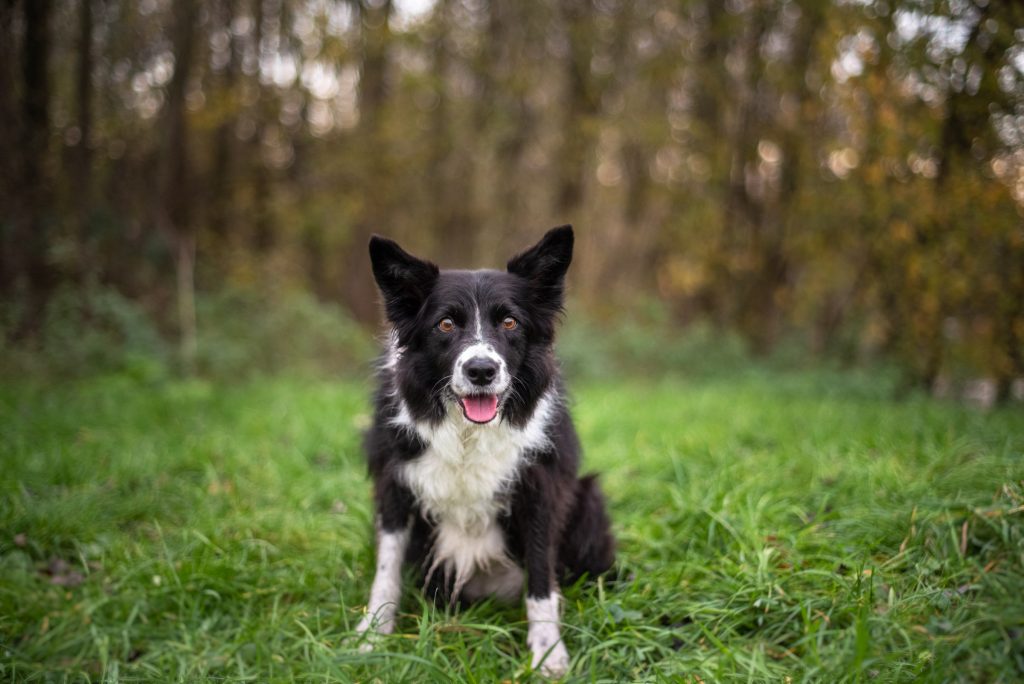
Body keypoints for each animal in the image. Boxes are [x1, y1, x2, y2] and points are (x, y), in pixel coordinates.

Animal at [356, 227, 610, 675]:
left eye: (509, 321)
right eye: (445, 324)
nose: (481, 371)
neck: (468, 433)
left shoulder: (541, 490)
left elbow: (541, 580)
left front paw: (547, 652)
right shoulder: (394, 485)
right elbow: (386, 569)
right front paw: (373, 636)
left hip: (590, 496)